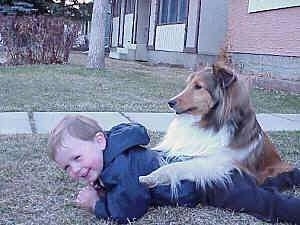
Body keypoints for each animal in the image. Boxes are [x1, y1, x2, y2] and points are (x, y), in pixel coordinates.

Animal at [139, 62, 292, 195]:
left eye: (198, 86)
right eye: (188, 85)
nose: (170, 102)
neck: (209, 122)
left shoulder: (216, 163)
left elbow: (178, 166)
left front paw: (151, 177)